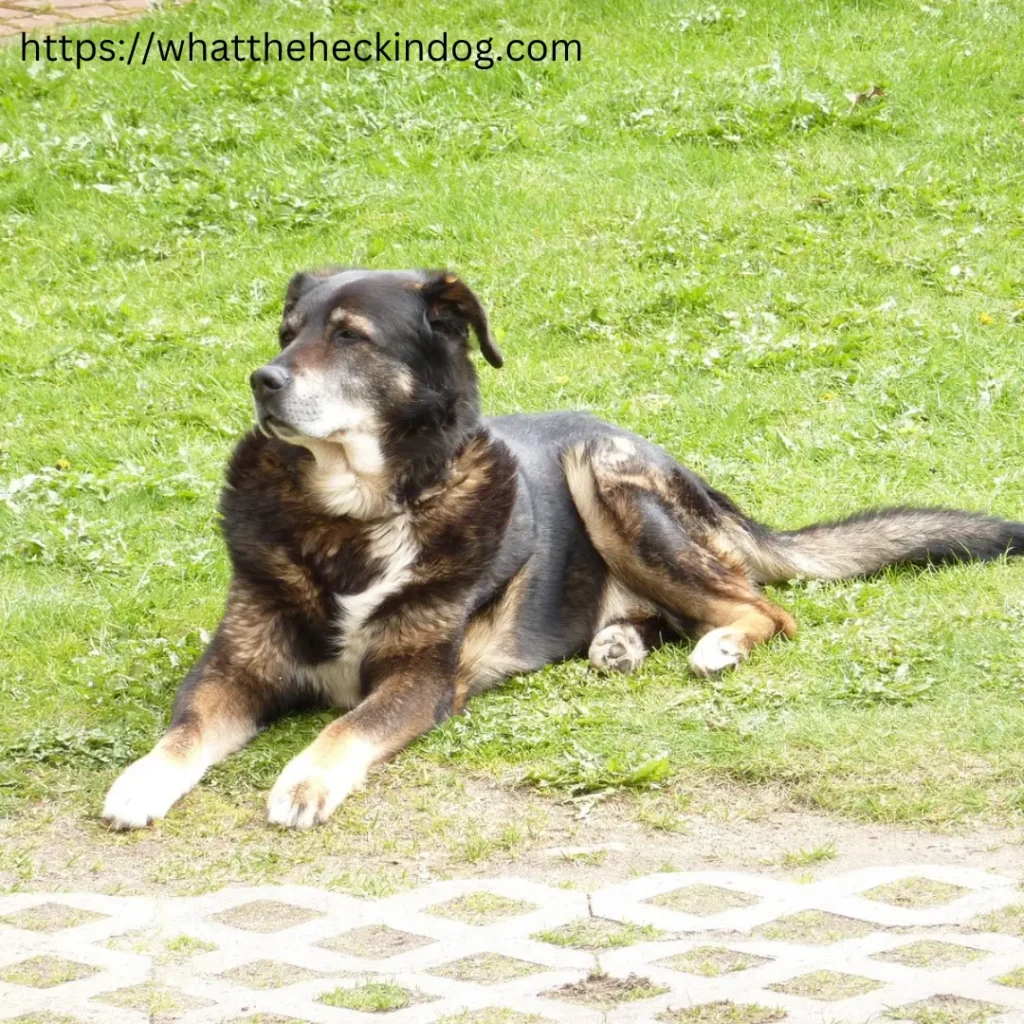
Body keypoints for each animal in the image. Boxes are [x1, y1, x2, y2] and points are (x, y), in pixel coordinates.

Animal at [101, 270, 1024, 831]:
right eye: (287, 332)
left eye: (352, 337)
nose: (263, 379)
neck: (355, 513)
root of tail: (693, 478)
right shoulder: (236, 667)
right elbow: (187, 728)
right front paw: (143, 778)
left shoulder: (420, 679)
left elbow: (347, 725)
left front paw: (305, 778)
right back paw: (618, 641)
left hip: (605, 476)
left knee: (763, 607)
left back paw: (718, 644)